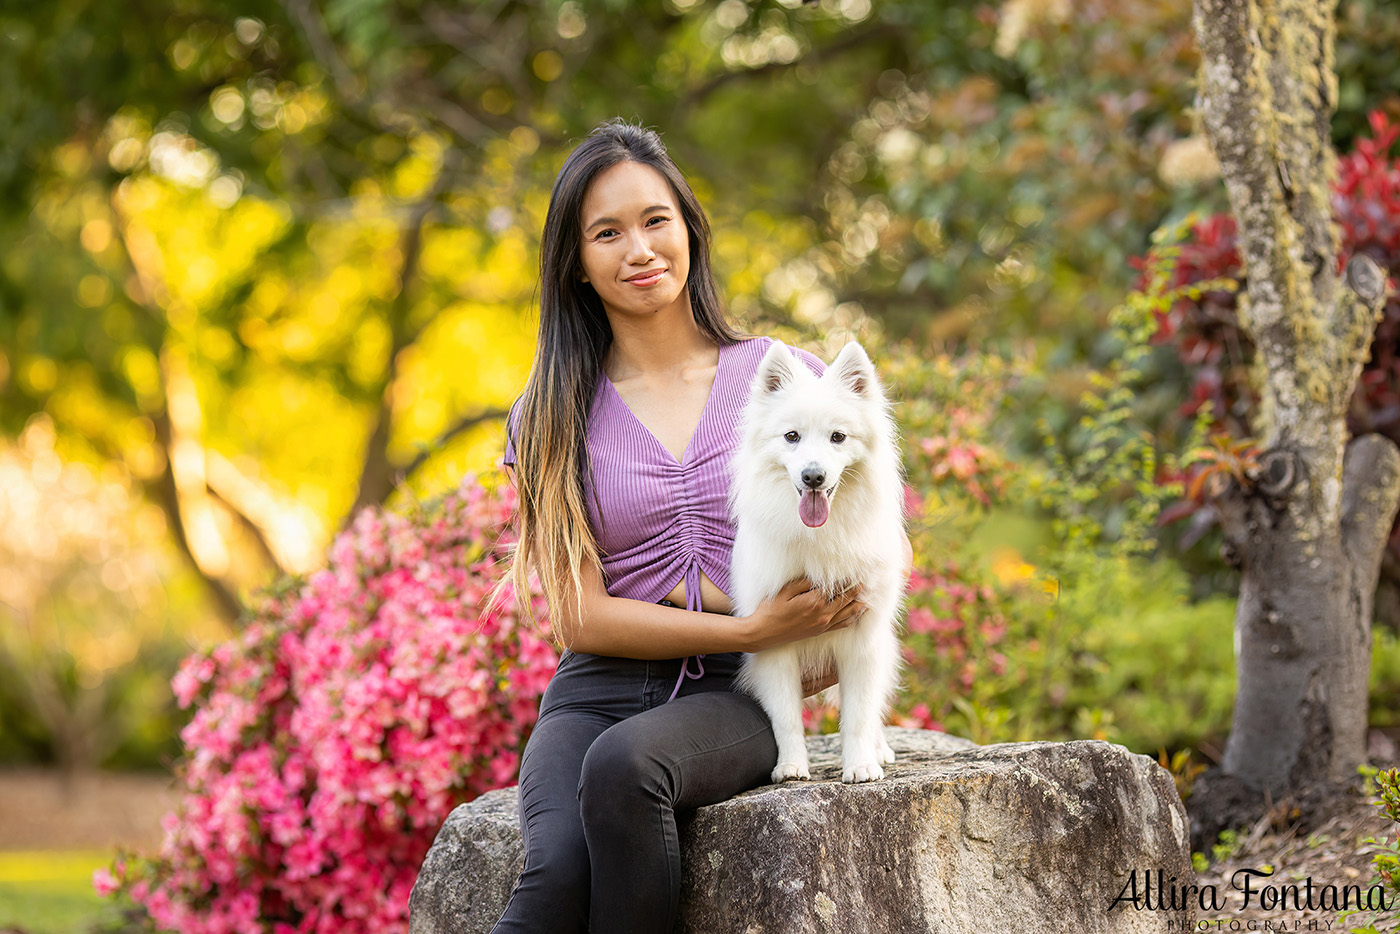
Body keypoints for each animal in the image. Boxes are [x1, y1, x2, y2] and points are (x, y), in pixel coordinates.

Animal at [728, 340, 901, 784]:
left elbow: (858, 715)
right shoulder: (773, 639)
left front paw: (860, 765)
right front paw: (790, 767)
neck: (818, 535)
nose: (813, 476)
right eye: (792, 436)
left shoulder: (862, 637)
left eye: (838, 437)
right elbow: (786, 717)